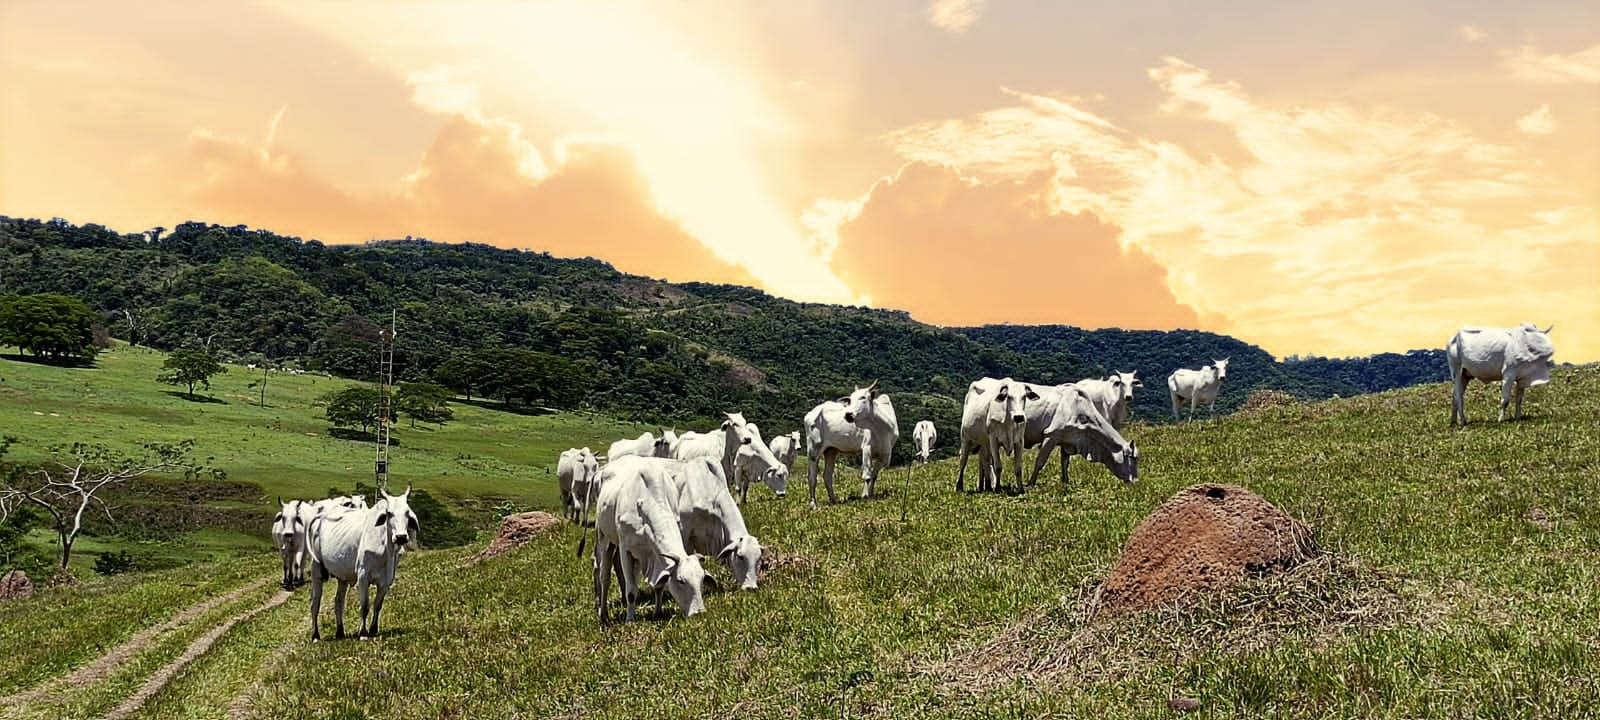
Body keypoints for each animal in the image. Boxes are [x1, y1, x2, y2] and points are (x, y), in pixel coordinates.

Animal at [305, 486, 419, 640]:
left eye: (407, 513)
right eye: (389, 513)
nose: (401, 537)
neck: (385, 548)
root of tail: (321, 515)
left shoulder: (386, 581)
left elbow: (377, 605)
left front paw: (373, 629)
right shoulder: (363, 577)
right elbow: (365, 606)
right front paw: (363, 633)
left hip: (342, 576)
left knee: (338, 601)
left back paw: (340, 632)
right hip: (316, 569)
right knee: (315, 603)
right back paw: (315, 635)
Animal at [592, 457, 704, 620]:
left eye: (702, 579)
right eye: (681, 581)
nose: (699, 612)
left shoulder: (653, 557)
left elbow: (659, 585)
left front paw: (657, 613)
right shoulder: (626, 550)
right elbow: (631, 591)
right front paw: (630, 619)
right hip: (604, 538)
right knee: (604, 575)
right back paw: (603, 613)